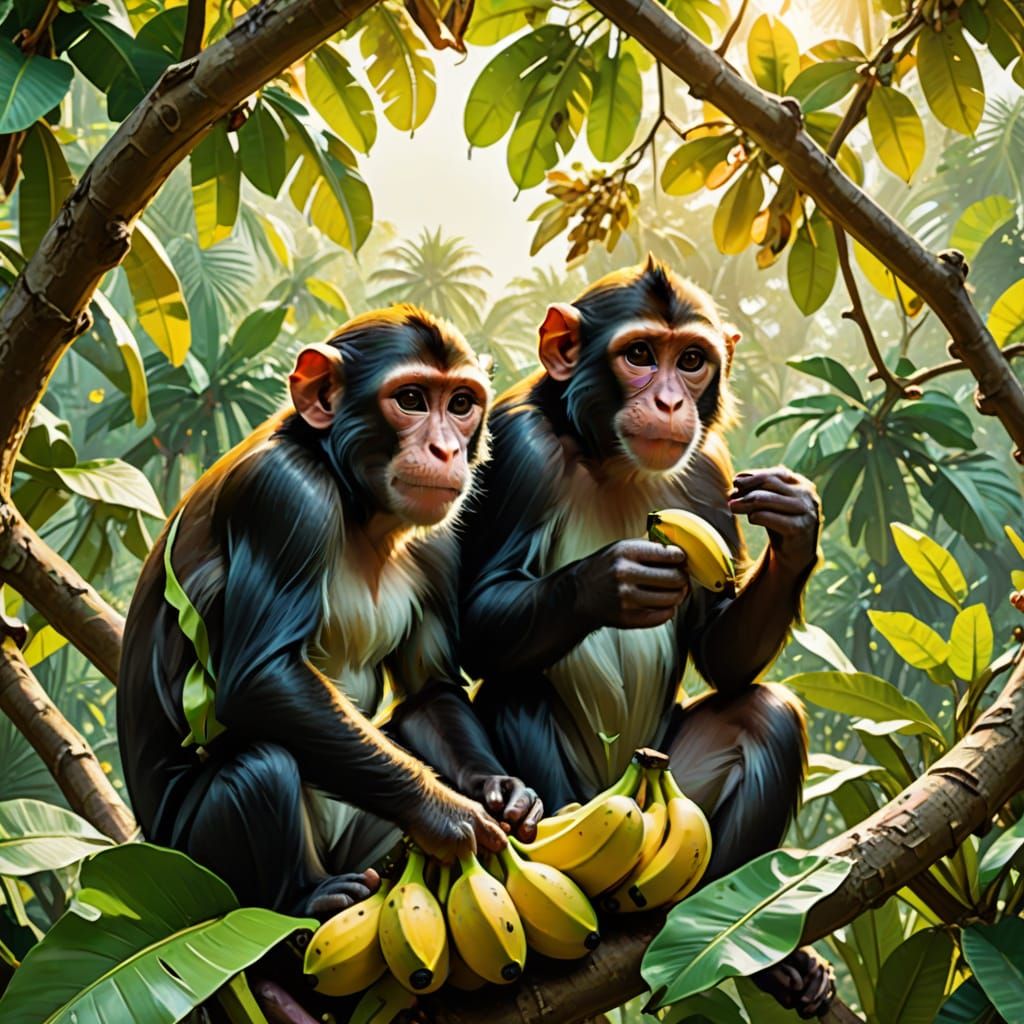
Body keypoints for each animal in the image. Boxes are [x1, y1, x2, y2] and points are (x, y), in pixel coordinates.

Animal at [118, 306, 543, 921]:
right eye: (411, 398)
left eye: (461, 404)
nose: (446, 449)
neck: (355, 500)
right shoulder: (284, 496)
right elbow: (263, 678)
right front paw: (448, 815)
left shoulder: (440, 542)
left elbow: (429, 691)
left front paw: (499, 790)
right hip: (188, 861)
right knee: (261, 764)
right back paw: (304, 896)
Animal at [456, 258, 832, 1018]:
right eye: (638, 355)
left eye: (690, 361)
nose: (667, 400)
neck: (610, 457)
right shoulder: (513, 449)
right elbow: (473, 618)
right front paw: (614, 580)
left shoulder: (710, 474)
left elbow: (722, 655)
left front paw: (795, 521)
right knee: (513, 688)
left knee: (764, 716)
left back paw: (726, 929)